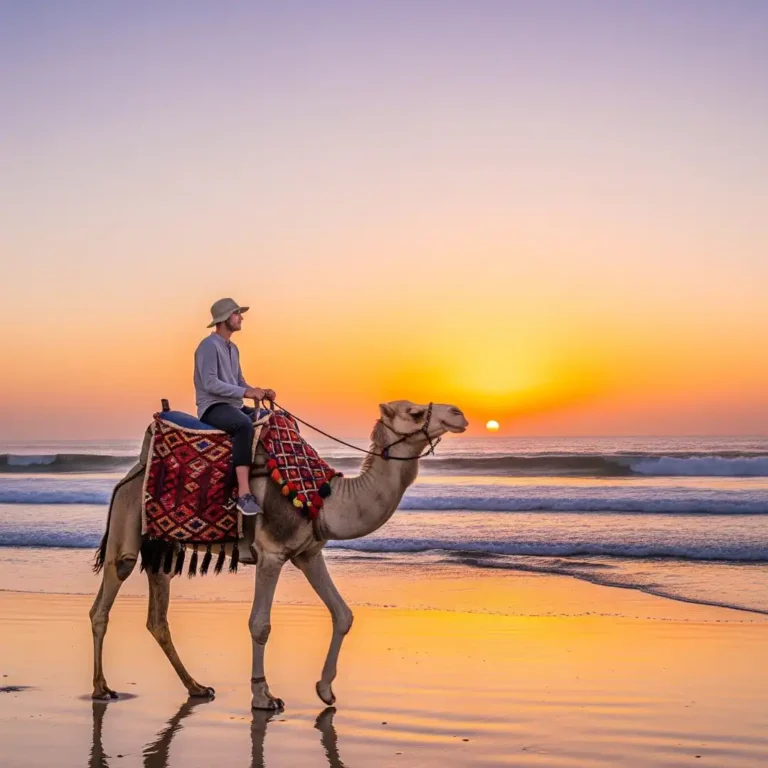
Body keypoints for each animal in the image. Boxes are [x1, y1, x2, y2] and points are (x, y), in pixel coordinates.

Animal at [90, 400, 468, 710]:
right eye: (414, 413)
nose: (459, 413)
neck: (323, 497)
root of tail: (134, 470)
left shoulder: (308, 554)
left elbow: (343, 614)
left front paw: (325, 690)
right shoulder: (271, 553)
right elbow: (260, 624)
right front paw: (263, 696)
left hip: (164, 546)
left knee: (158, 617)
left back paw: (196, 687)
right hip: (127, 518)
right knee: (106, 599)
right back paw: (101, 689)